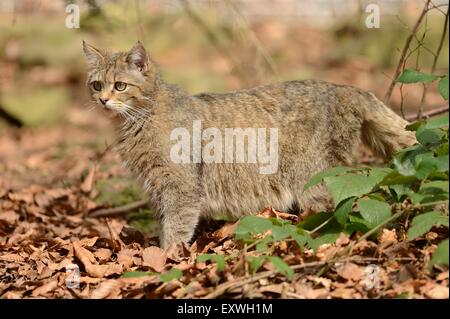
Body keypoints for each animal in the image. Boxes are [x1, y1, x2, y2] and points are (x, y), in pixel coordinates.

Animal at [83, 40, 414, 250]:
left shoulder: (181, 188)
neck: (139, 120)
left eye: (120, 86)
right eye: (96, 85)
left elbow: (175, 228)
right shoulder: (158, 187)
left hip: (315, 180)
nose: (103, 100)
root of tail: (343, 87)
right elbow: (165, 223)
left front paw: (167, 260)